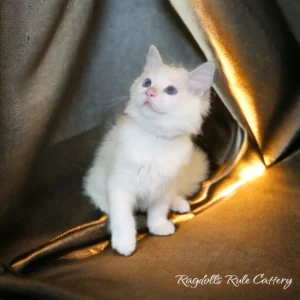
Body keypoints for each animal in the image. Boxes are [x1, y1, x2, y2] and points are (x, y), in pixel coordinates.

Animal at [84, 45, 214, 256]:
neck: (155, 138)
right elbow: (123, 217)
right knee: (101, 199)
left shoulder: (164, 187)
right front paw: (124, 243)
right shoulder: (121, 185)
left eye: (171, 90)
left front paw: (158, 227)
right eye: (147, 83)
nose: (150, 92)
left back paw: (179, 203)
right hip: (97, 183)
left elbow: (158, 211)